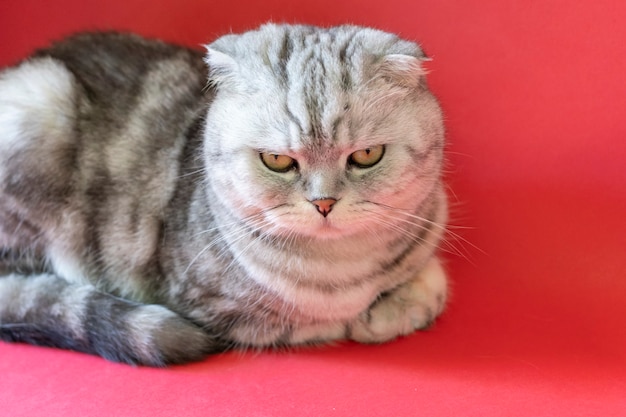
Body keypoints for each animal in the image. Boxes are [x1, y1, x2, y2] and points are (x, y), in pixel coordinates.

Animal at [1, 22, 448, 364]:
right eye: (276, 160)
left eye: (366, 156)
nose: (324, 204)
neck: (341, 267)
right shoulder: (214, 309)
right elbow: (322, 321)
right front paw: (383, 314)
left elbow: (430, 276)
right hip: (41, 106)